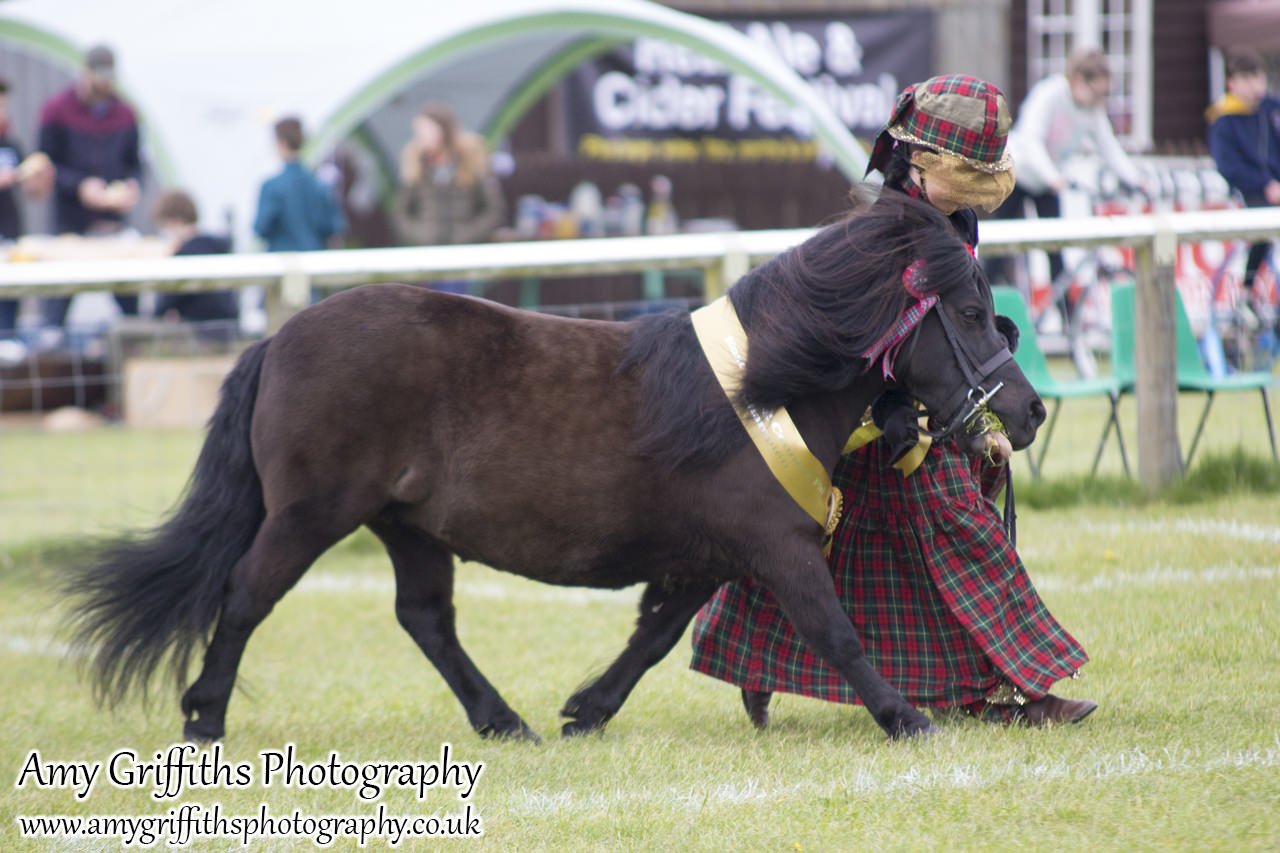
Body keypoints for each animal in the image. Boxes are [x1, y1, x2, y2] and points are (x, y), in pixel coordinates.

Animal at [62, 192, 1039, 737]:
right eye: (973, 311)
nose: (1026, 413)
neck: (762, 389)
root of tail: (276, 339)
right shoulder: (778, 546)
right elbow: (837, 632)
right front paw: (907, 717)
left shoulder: (708, 554)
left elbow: (652, 636)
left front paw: (585, 709)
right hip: (310, 514)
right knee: (245, 596)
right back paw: (205, 719)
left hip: (406, 524)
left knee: (425, 618)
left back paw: (506, 721)